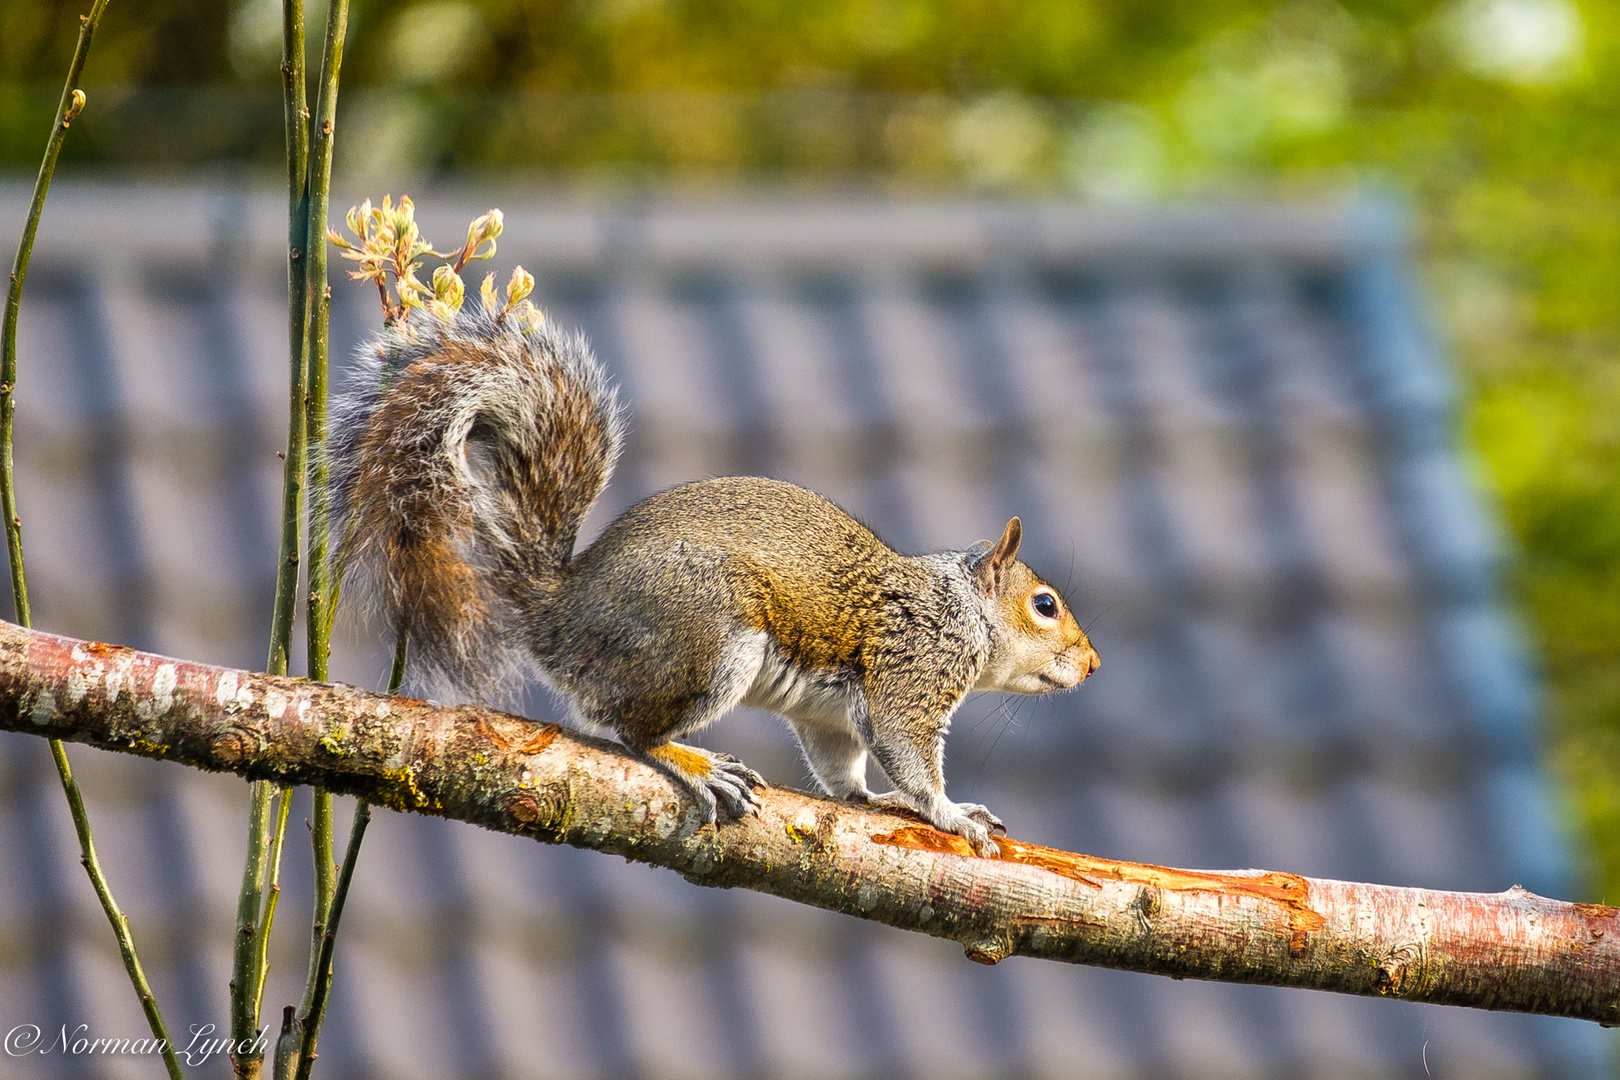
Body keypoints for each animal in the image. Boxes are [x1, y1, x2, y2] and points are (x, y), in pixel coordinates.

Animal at [325, 302, 1101, 854]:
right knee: (627, 727)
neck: (959, 608)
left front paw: (877, 802)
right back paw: (697, 763)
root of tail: (559, 615)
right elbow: (908, 751)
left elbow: (844, 772)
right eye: (1045, 605)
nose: (1093, 664)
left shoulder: (833, 720)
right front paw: (949, 812)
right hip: (705, 634)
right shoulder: (911, 669)